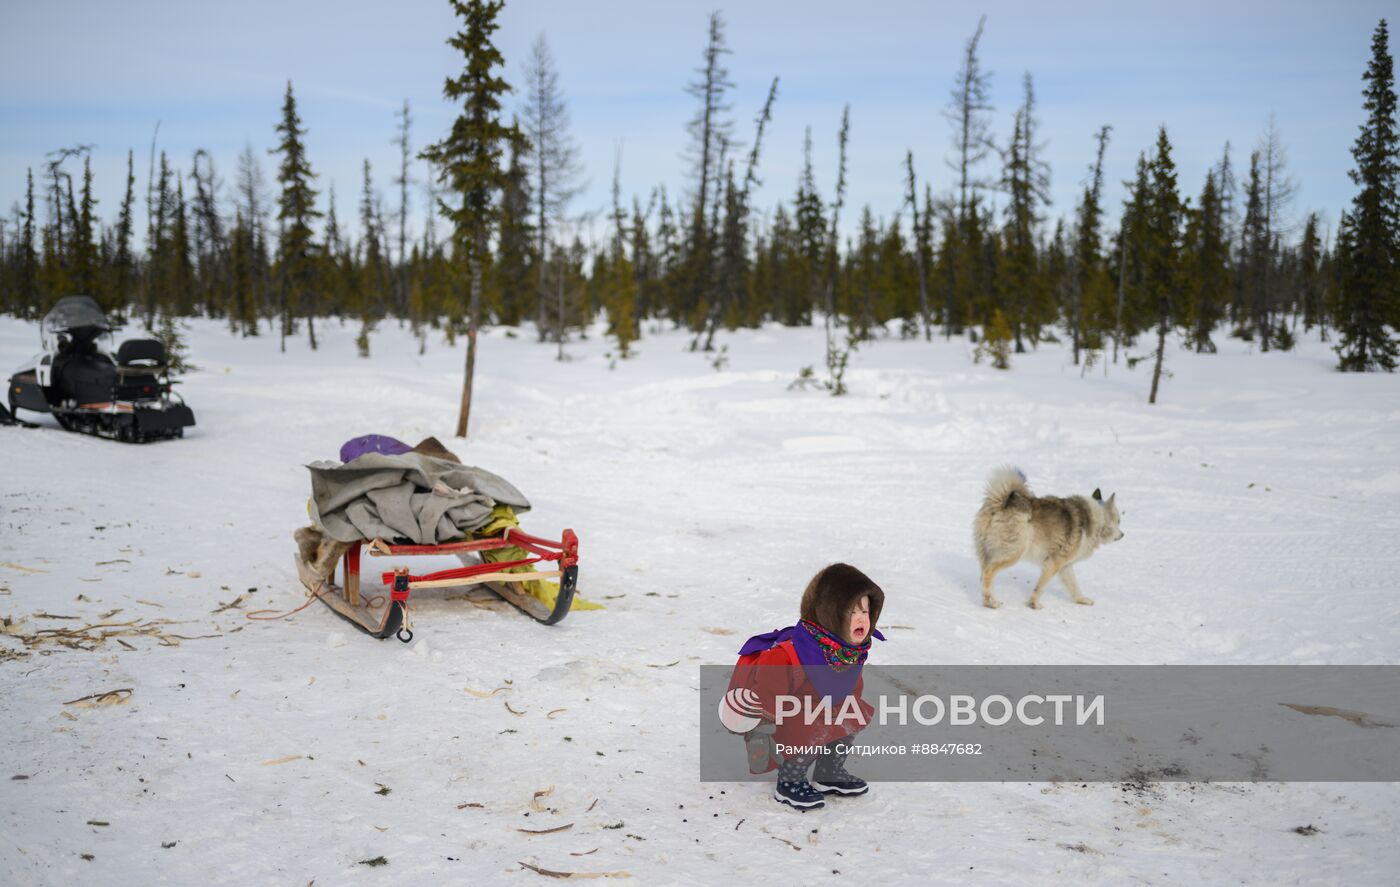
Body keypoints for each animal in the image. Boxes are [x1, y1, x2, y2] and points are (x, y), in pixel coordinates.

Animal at [974, 470, 1125, 607]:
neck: (1098, 518)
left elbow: (1074, 586)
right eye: (1119, 521)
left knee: (985, 576)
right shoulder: (1054, 563)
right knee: (988, 572)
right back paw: (992, 602)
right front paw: (1034, 604)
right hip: (1014, 553)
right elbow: (1040, 587)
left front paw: (1082, 600)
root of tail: (1001, 502)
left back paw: (988, 600)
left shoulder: (1065, 567)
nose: (1123, 535)